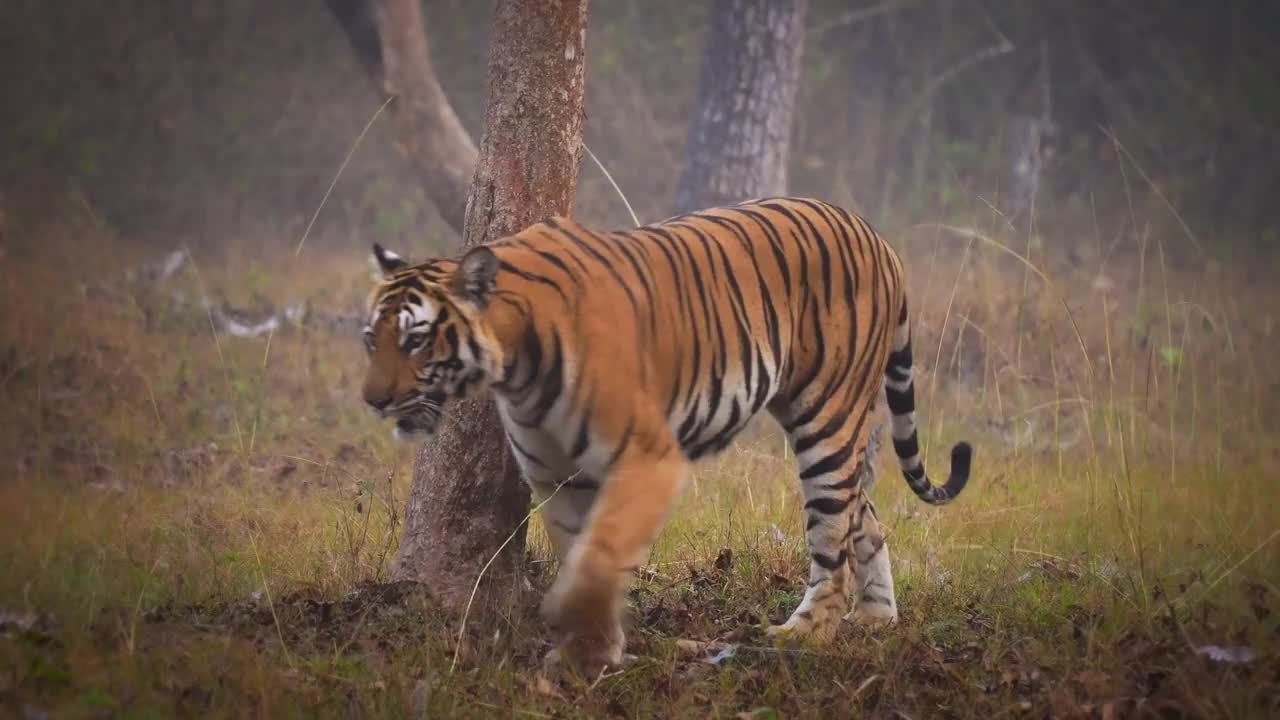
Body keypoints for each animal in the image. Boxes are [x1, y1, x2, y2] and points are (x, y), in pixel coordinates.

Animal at [360, 194, 967, 666]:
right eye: (372, 338)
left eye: (416, 339)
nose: (373, 400)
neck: (515, 367)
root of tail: (877, 237)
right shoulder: (558, 474)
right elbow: (581, 554)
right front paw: (590, 647)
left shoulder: (645, 460)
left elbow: (600, 557)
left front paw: (581, 652)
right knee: (864, 514)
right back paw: (875, 618)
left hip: (827, 414)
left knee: (832, 533)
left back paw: (804, 634)